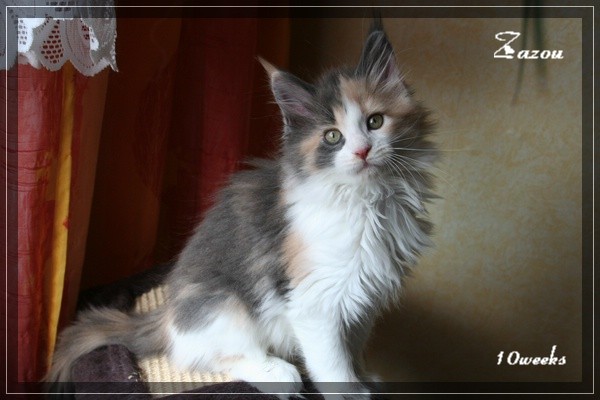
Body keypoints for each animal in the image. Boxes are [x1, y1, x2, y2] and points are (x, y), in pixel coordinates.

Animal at [46, 18, 436, 398]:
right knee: (204, 356)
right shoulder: (316, 302)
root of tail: (167, 315)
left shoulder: (364, 299)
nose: (362, 151)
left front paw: (366, 379)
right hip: (225, 307)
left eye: (375, 121)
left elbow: (353, 349)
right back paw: (280, 376)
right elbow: (333, 363)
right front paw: (352, 393)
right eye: (332, 137)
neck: (370, 201)